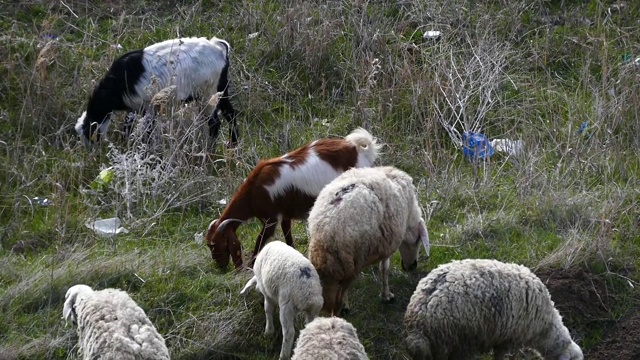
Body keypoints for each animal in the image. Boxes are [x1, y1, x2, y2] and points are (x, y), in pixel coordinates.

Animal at [73, 37, 238, 152]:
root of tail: (218, 47)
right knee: (230, 114)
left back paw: (210, 151)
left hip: (208, 93)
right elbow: (128, 127)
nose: (93, 153)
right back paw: (232, 146)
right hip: (221, 88)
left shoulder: (149, 108)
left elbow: (147, 133)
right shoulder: (134, 108)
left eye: (90, 134)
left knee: (214, 123)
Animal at [208, 127, 382, 270]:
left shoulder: (270, 219)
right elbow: (288, 237)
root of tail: (357, 150)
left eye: (214, 245)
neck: (253, 191)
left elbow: (260, 240)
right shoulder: (285, 215)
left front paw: (252, 266)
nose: (220, 267)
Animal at [306, 165, 430, 316]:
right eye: (418, 241)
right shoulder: (388, 243)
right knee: (341, 293)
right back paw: (342, 309)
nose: (412, 267)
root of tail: (326, 226)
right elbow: (384, 270)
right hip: (354, 260)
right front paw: (387, 296)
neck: (409, 217)